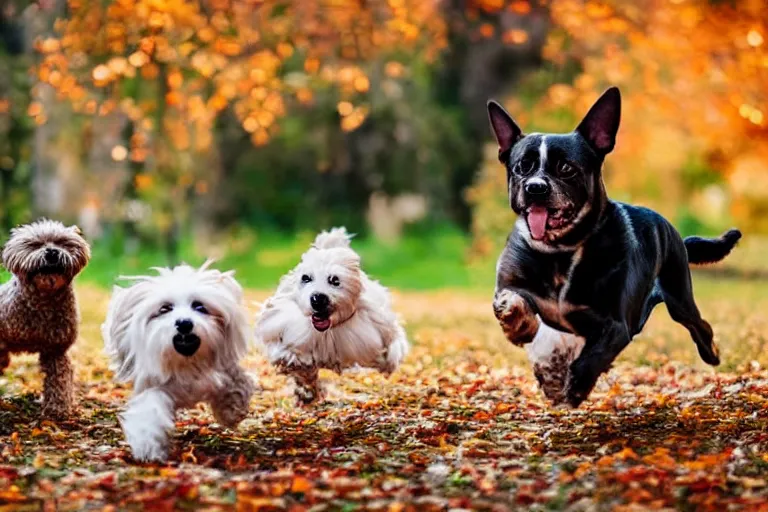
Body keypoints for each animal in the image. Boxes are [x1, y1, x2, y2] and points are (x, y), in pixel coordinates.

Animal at [100, 262, 252, 462]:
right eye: (165, 309)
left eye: (199, 306)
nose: (184, 323)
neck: (187, 363)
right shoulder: (152, 385)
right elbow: (150, 410)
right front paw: (149, 445)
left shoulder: (224, 369)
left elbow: (237, 382)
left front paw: (231, 409)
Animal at [255, 229, 408, 404]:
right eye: (305, 278)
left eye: (335, 280)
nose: (318, 299)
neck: (326, 332)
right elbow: (293, 361)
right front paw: (305, 387)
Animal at [488, 88, 740, 408]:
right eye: (522, 166)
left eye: (566, 168)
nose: (535, 187)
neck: (561, 252)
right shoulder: (514, 285)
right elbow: (512, 300)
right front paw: (518, 324)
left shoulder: (617, 326)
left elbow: (591, 358)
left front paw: (577, 387)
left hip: (679, 299)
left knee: (700, 326)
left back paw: (711, 352)